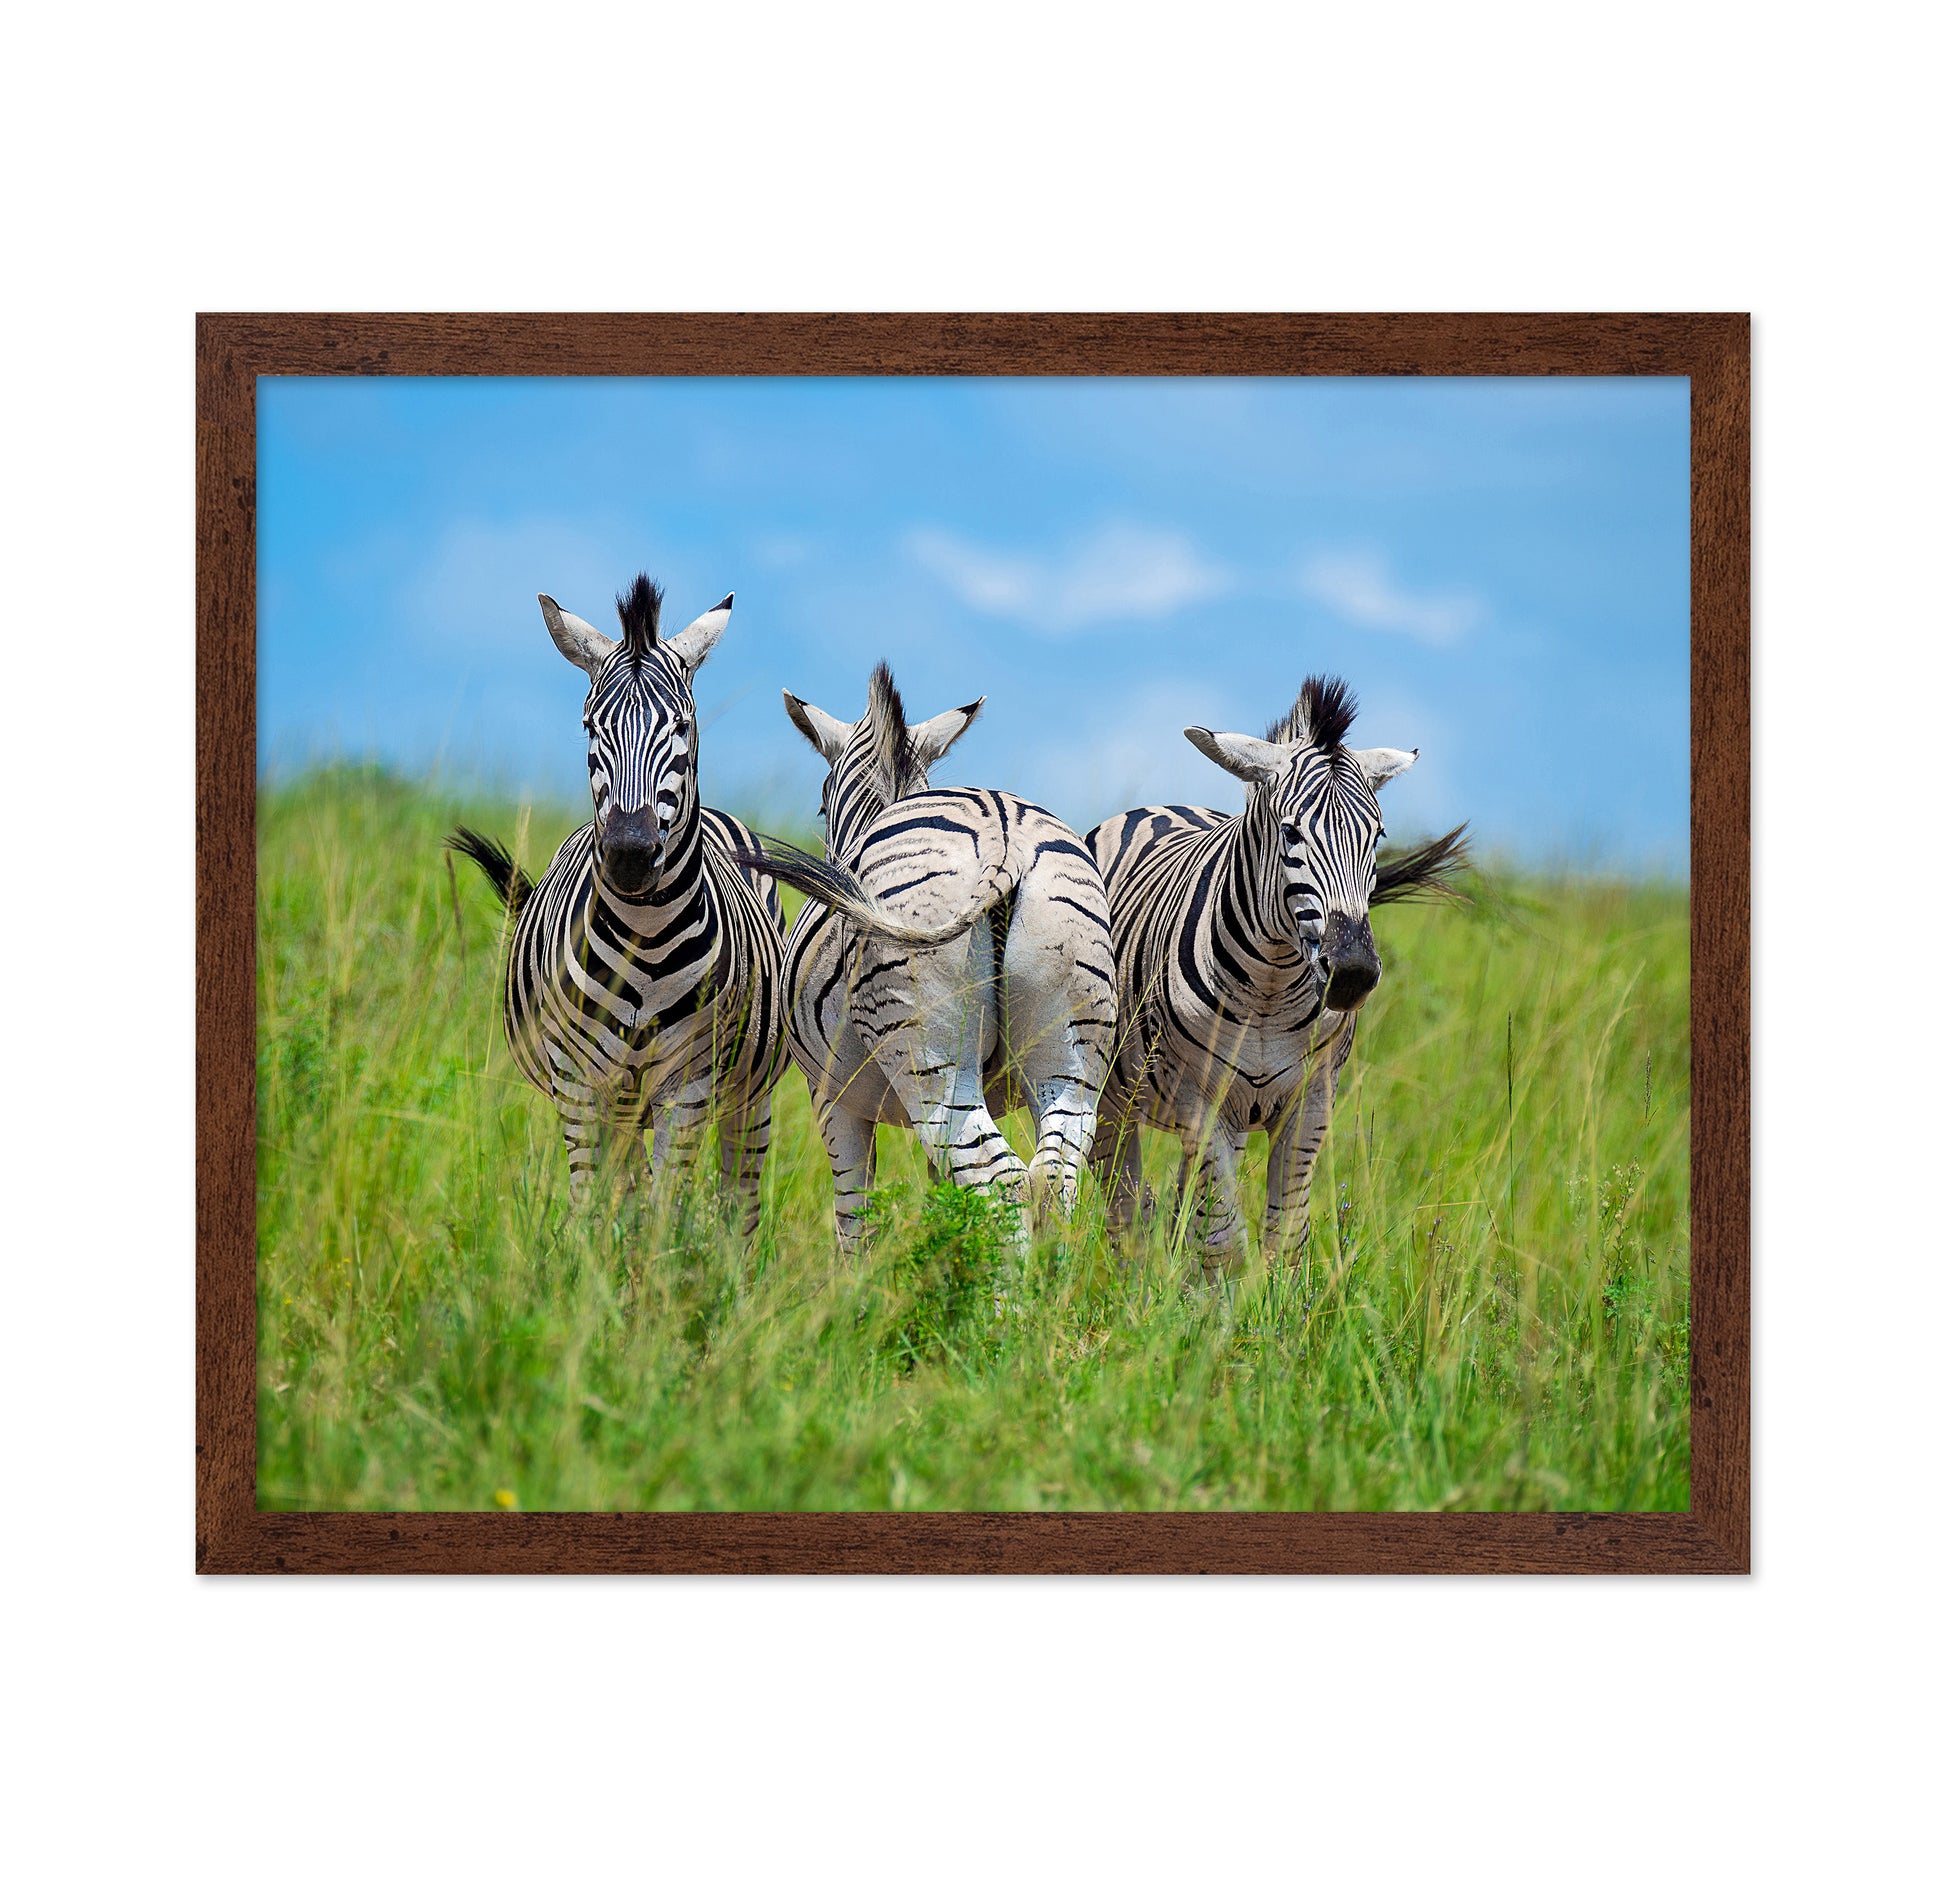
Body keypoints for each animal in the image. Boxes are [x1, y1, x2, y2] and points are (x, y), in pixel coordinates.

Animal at [448, 575, 789, 1234]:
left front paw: (660, 1265)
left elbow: (664, 1216)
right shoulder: (580, 1085)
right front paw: (593, 1266)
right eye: (590, 728)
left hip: (745, 1093)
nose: (630, 853)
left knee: (739, 1202)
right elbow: (594, 1210)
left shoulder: (688, 1085)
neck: (645, 936)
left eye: (682, 725)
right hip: (622, 1102)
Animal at [730, 664, 1116, 1251]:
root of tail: (1004, 833)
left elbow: (854, 1217)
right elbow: (945, 1198)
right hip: (1070, 1055)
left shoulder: (832, 1100)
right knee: (1053, 1179)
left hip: (930, 1055)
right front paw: (945, 1262)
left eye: (820, 804)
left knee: (1002, 1181)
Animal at [1085, 674, 1467, 1270]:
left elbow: (1283, 1239)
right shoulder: (1199, 1099)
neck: (1269, 988)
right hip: (1111, 1099)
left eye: (1378, 837)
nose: (1352, 973)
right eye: (1290, 833)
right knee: (1126, 1216)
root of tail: (1161, 808)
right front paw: (1215, 1300)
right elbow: (1222, 1243)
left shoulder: (1311, 1102)